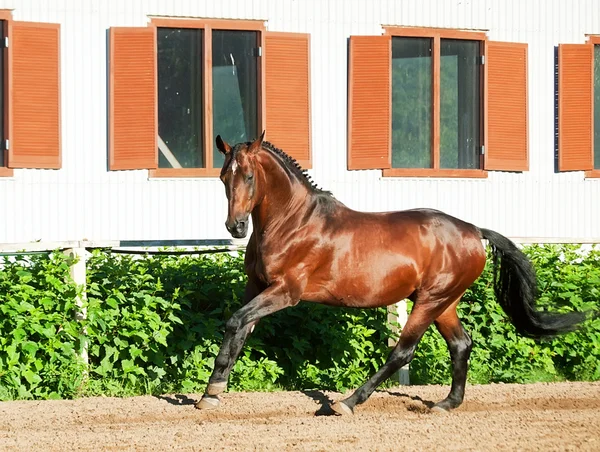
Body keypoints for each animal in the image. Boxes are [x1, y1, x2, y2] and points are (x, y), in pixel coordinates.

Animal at [196, 132, 584, 414]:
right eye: (223, 177)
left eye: (249, 176)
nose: (236, 226)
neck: (292, 222)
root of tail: (475, 231)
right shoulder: (257, 287)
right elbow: (240, 331)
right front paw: (212, 392)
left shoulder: (285, 292)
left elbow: (235, 321)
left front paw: (211, 390)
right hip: (444, 302)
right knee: (461, 344)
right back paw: (446, 404)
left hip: (430, 301)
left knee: (403, 351)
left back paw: (347, 403)